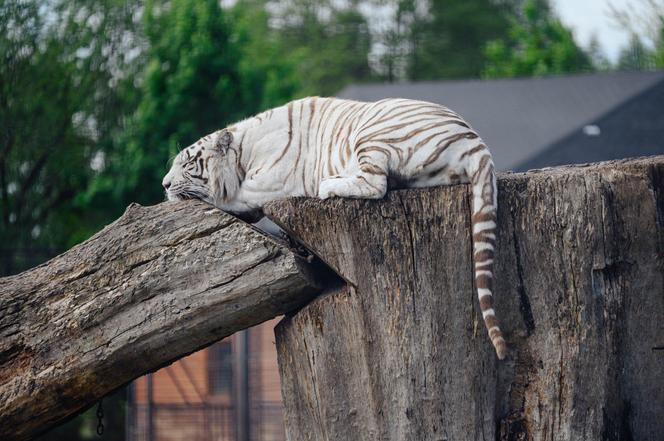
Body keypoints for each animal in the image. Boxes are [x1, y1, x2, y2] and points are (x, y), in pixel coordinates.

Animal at [163, 96, 506, 358]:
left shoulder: (272, 182)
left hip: (374, 133)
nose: (164, 184)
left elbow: (233, 197)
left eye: (188, 162)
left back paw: (329, 185)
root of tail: (475, 140)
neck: (243, 154)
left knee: (376, 184)